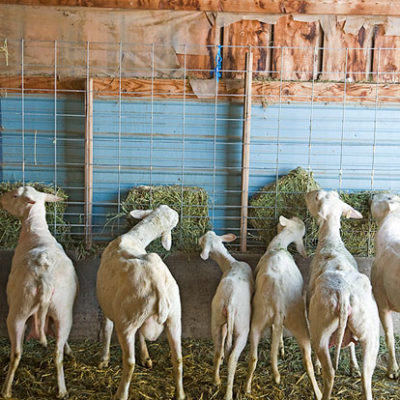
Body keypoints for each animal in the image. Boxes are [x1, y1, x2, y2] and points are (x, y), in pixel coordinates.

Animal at [0, 186, 78, 398]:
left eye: (15, 195)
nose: (1, 199)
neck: (36, 230)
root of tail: (45, 280)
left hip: (18, 310)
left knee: (16, 353)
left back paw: (6, 390)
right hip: (63, 311)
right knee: (57, 354)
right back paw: (62, 390)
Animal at [96, 205, 185, 400]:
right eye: (161, 208)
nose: (176, 213)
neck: (134, 238)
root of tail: (156, 280)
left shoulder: (108, 307)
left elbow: (106, 329)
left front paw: (103, 360)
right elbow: (142, 335)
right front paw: (146, 357)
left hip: (126, 323)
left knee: (129, 362)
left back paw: (121, 394)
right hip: (174, 317)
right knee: (178, 358)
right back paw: (180, 394)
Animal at [199, 231, 253, 400]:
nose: (198, 239)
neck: (230, 264)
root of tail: (230, 303)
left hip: (216, 319)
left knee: (217, 350)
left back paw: (216, 380)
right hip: (242, 328)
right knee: (233, 358)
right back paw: (228, 393)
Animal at [244, 219, 322, 400]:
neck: (279, 245)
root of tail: (278, 303)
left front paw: (280, 348)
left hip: (259, 320)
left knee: (254, 357)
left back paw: (247, 387)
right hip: (298, 323)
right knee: (307, 360)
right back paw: (318, 392)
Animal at [308, 191, 380, 400]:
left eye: (316, 197)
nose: (307, 193)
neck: (332, 242)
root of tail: (345, 294)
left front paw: (316, 365)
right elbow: (350, 346)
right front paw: (353, 366)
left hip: (320, 331)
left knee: (330, 372)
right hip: (370, 332)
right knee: (367, 373)